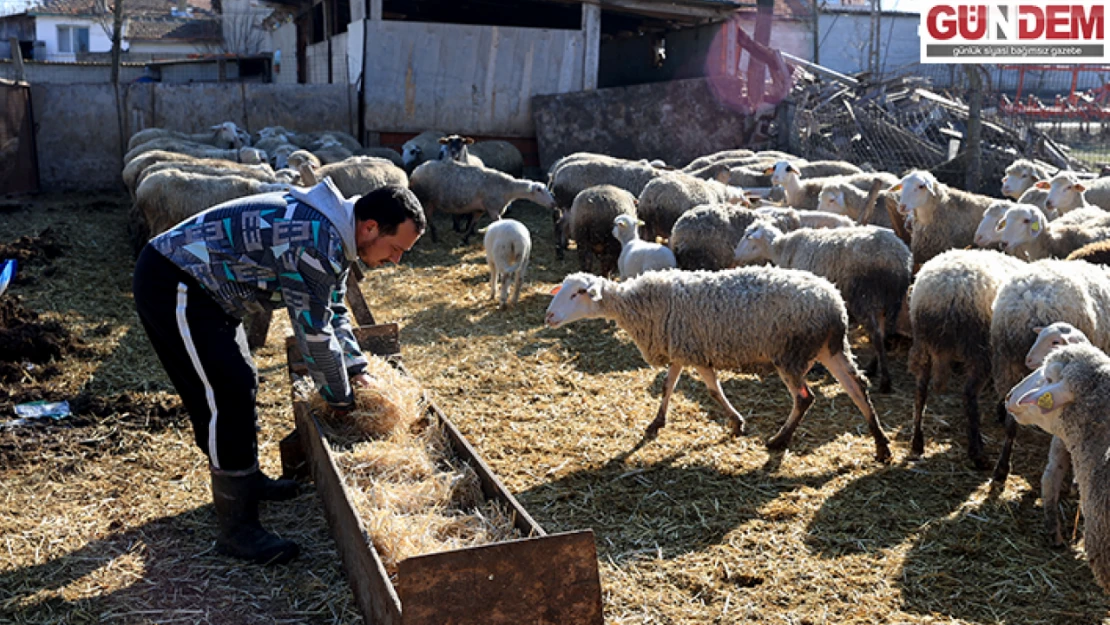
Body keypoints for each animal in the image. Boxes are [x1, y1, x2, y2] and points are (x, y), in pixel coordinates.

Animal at [410, 158, 555, 244]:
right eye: (539, 190)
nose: (553, 204)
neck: (508, 189)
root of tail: (416, 169)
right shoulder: (493, 209)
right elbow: (499, 223)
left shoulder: (480, 209)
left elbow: (473, 223)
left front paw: (465, 238)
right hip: (426, 199)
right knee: (429, 218)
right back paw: (434, 236)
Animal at [543, 266, 892, 461]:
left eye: (578, 293)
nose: (548, 316)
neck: (639, 306)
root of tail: (834, 304)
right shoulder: (685, 350)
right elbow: (670, 386)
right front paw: (658, 423)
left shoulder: (693, 352)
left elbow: (710, 390)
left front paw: (736, 422)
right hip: (829, 349)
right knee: (857, 388)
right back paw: (880, 444)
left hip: (790, 354)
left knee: (805, 398)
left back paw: (779, 441)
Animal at [905, 249, 1025, 470]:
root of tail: (945, 292)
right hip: (978, 347)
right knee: (969, 395)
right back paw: (977, 453)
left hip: (922, 342)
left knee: (920, 390)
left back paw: (917, 441)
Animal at [994, 256, 1110, 481]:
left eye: (1055, 341)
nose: (1029, 359)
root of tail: (1033, 301)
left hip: (1007, 367)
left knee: (1011, 424)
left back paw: (1002, 467)